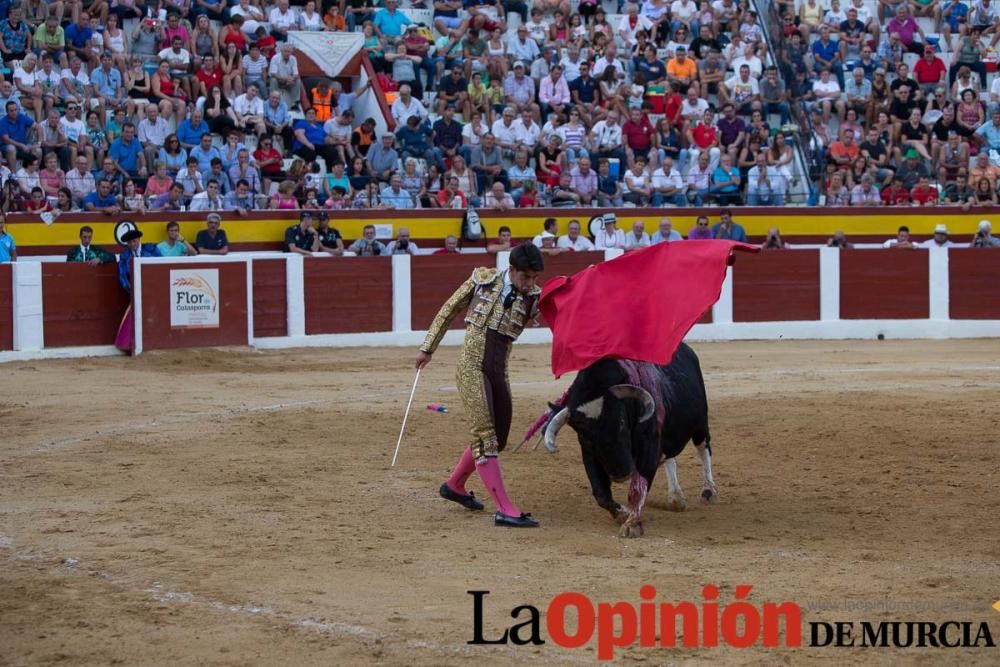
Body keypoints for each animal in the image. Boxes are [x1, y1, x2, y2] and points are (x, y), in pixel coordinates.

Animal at [544, 344, 716, 536]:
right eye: (584, 435)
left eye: (621, 421)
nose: (621, 474)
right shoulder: (589, 454)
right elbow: (600, 492)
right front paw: (622, 513)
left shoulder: (648, 449)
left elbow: (637, 488)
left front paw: (632, 524)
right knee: (670, 458)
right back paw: (675, 497)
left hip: (701, 423)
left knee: (704, 450)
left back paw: (708, 491)